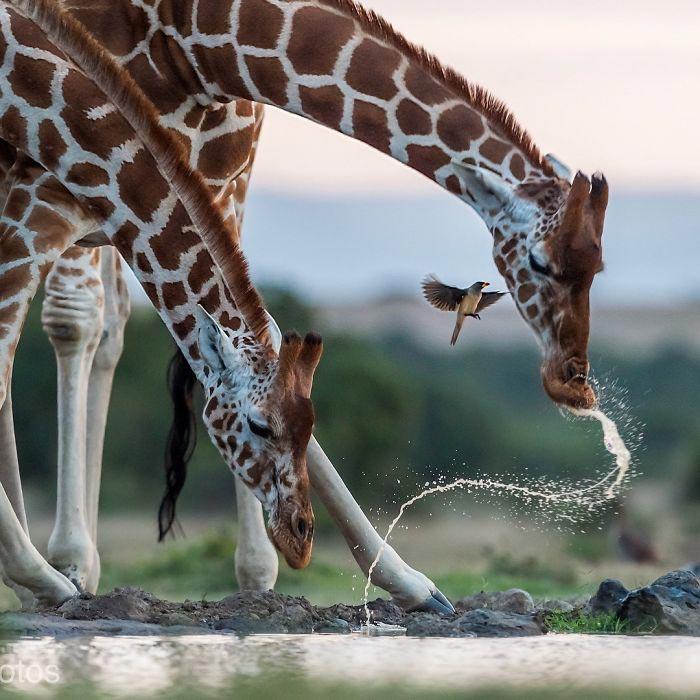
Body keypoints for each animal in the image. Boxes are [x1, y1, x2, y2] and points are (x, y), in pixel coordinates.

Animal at [0, 0, 608, 612]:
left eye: (597, 268)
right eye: (540, 264)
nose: (574, 383)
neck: (194, 41)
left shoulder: (197, 188)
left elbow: (256, 332)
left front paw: (392, 582)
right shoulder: (54, 195)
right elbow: (51, 325)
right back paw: (59, 565)